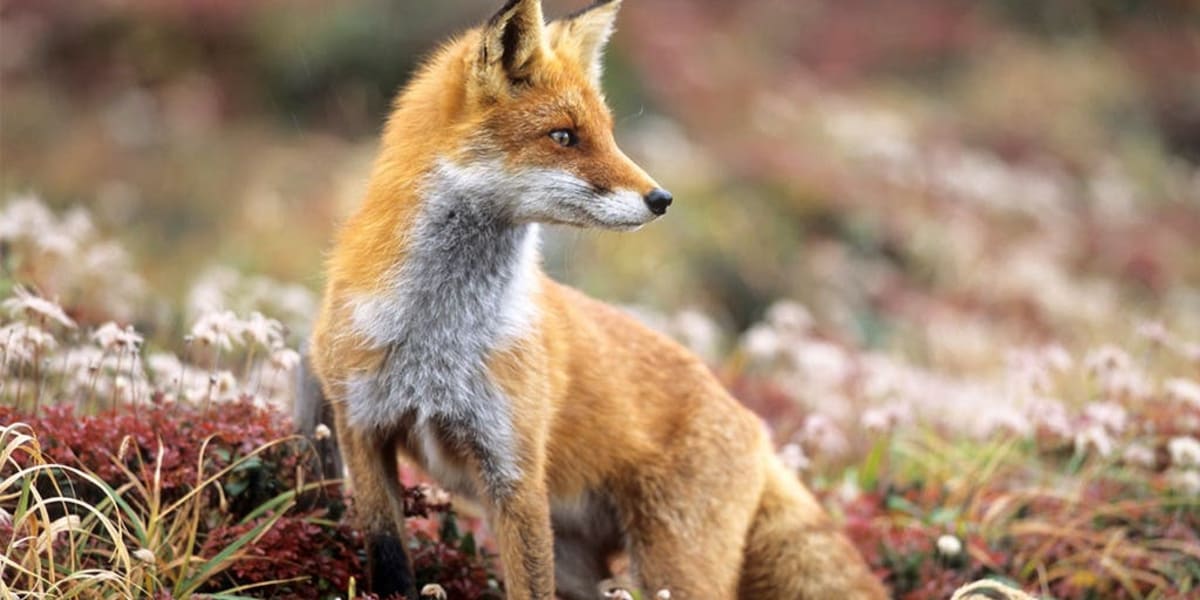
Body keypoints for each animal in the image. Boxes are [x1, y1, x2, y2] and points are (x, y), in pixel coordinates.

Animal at [303, 0, 888, 598]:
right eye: (564, 136)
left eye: (608, 134)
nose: (662, 198)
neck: (436, 334)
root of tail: (755, 424)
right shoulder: (361, 428)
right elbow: (389, 559)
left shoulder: (512, 468)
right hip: (584, 565)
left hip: (669, 569)